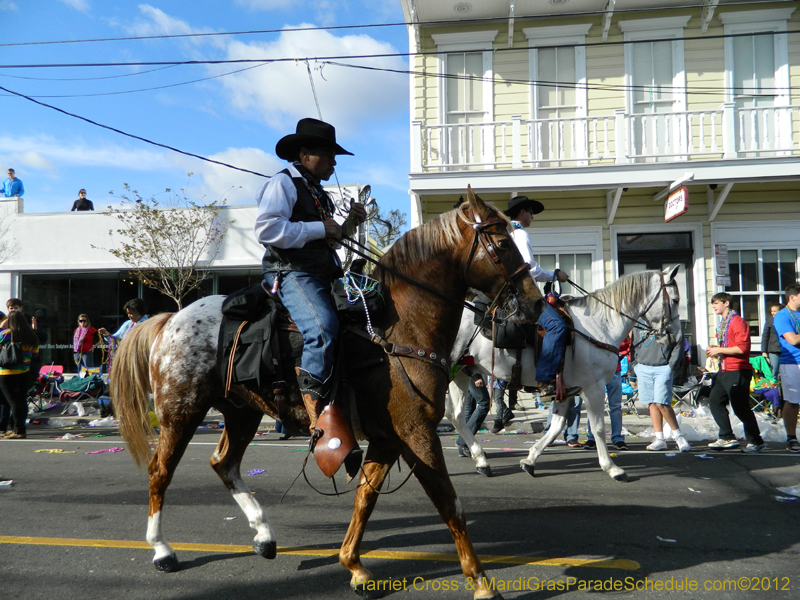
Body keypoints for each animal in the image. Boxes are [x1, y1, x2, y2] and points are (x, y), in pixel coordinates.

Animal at [114, 189, 544, 600]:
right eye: (502, 243)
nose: (536, 302)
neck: (398, 331)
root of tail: (171, 318)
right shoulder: (415, 433)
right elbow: (449, 503)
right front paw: (481, 582)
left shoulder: (388, 439)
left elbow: (365, 498)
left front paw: (354, 566)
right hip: (181, 411)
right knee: (160, 471)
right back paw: (163, 550)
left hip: (241, 412)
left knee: (225, 464)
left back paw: (264, 535)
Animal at [446, 266, 680, 478]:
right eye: (676, 300)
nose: (675, 337)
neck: (598, 326)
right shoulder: (593, 388)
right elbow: (597, 428)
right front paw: (611, 468)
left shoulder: (565, 390)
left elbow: (556, 427)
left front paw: (530, 460)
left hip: (461, 373)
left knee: (455, 415)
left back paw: (481, 460)